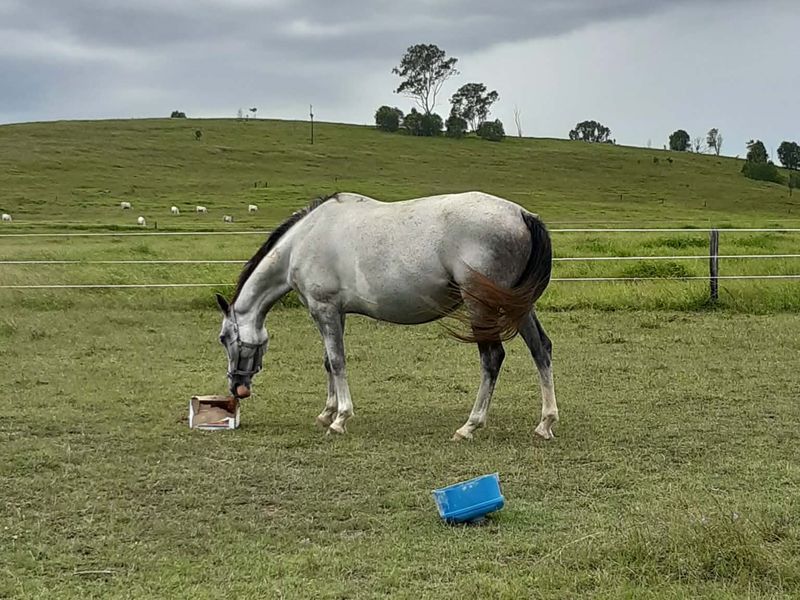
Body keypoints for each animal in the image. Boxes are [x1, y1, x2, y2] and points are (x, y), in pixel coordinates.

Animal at [214, 191, 558, 441]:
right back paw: (545, 422)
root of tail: (522, 215)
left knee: (492, 358)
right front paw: (327, 412)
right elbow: (328, 361)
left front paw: (340, 419)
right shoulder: (335, 313)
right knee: (541, 349)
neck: (304, 240)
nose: (236, 387)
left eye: (223, 338)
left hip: (482, 307)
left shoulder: (323, 309)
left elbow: (337, 361)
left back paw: (470, 426)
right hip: (518, 306)